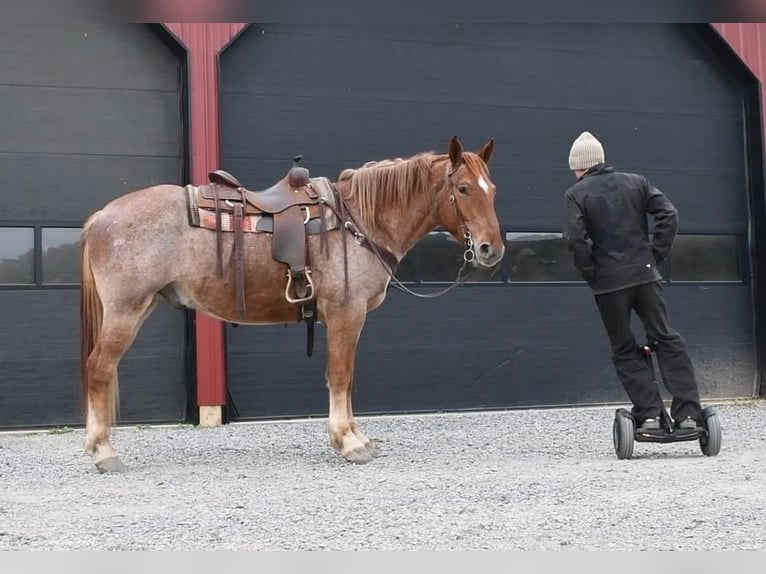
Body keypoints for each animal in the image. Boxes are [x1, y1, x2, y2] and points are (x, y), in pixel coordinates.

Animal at [80, 135, 505, 473]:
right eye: (463, 188)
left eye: (492, 189)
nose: (492, 249)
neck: (358, 223)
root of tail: (102, 216)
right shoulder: (345, 314)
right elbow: (340, 376)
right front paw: (347, 442)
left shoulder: (351, 320)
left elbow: (348, 377)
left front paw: (357, 436)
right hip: (125, 312)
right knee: (99, 368)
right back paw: (104, 451)